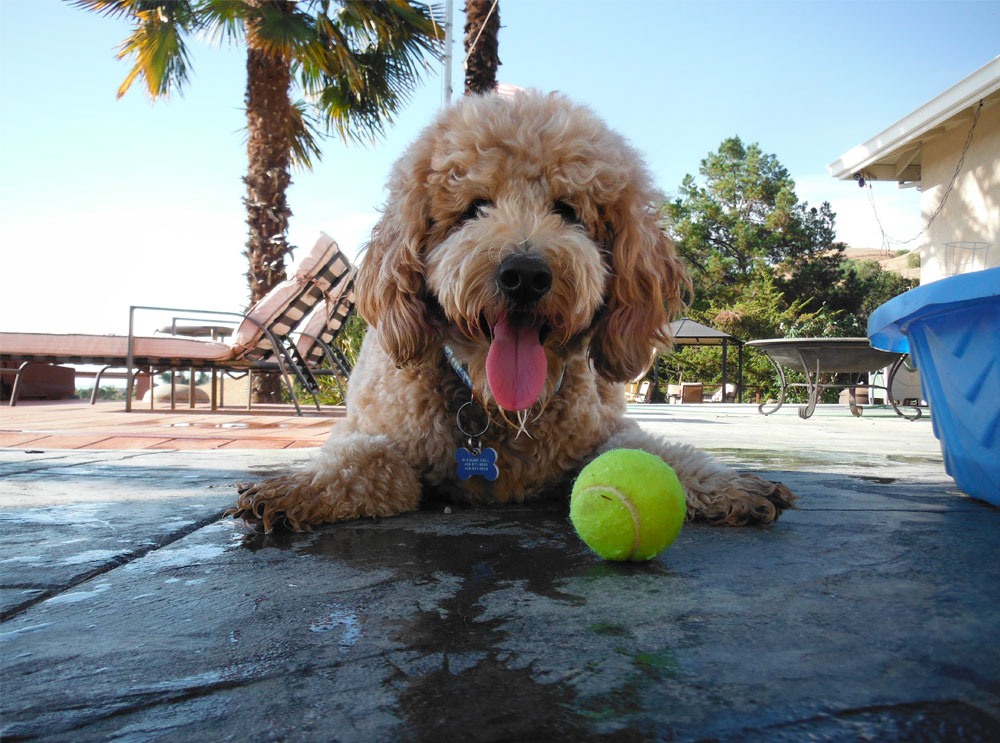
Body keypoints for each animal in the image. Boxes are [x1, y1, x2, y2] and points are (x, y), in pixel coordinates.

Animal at [234, 93, 796, 532]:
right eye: (473, 208)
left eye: (569, 211)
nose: (525, 275)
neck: (496, 410)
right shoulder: (374, 435)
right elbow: (362, 461)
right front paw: (298, 486)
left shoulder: (604, 433)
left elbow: (651, 452)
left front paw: (725, 483)